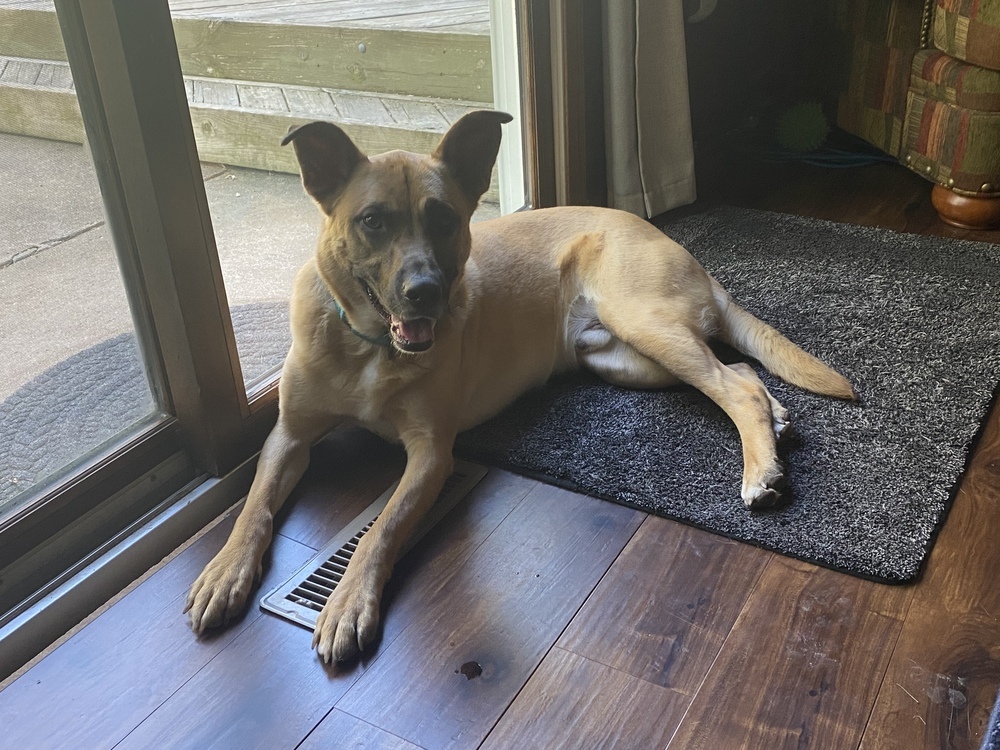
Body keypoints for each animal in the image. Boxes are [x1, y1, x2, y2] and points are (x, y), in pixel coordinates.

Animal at [182, 110, 852, 664]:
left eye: (444, 219)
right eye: (372, 222)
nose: (425, 293)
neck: (368, 345)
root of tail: (692, 261)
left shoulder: (431, 455)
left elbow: (381, 530)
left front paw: (347, 602)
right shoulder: (288, 436)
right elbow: (254, 506)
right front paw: (225, 570)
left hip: (644, 324)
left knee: (733, 386)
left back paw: (761, 471)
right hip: (621, 357)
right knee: (739, 373)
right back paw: (778, 424)